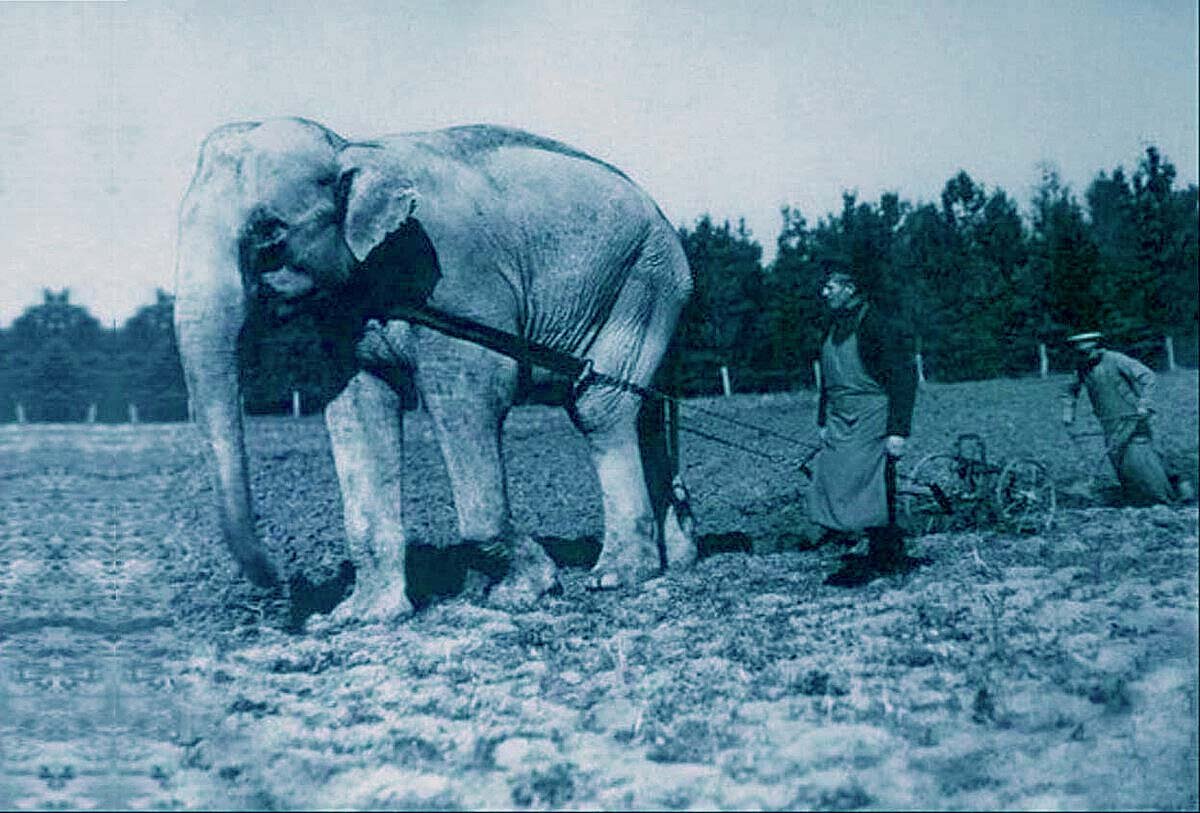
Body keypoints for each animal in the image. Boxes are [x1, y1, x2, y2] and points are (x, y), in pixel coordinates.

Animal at [170, 114, 696, 623]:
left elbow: (473, 396)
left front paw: (523, 592)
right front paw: (360, 617)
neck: (350, 145)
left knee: (600, 409)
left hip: (643, 280)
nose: (280, 581)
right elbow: (357, 410)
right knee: (644, 412)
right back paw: (680, 555)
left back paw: (617, 575)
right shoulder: (344, 318)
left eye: (270, 236)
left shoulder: (459, 285)